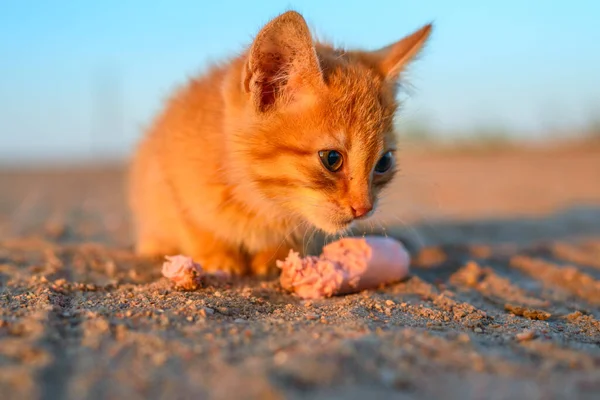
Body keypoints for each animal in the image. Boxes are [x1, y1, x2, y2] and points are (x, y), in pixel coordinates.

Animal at [130, 10, 432, 276]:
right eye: (332, 158)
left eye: (384, 162)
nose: (364, 209)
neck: (264, 205)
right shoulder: (165, 173)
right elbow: (192, 221)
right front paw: (217, 254)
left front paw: (278, 253)